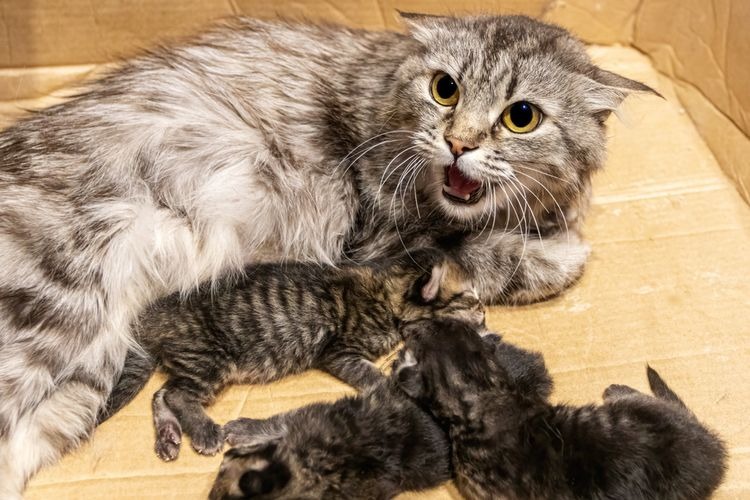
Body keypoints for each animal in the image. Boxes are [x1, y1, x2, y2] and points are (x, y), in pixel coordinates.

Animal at [100, 250, 484, 460]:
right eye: (470, 300)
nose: (484, 315)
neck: (387, 292)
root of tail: (150, 315)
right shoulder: (339, 352)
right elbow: (373, 376)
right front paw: (393, 385)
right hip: (209, 359)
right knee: (178, 394)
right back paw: (206, 432)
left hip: (193, 362)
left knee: (161, 394)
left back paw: (168, 436)